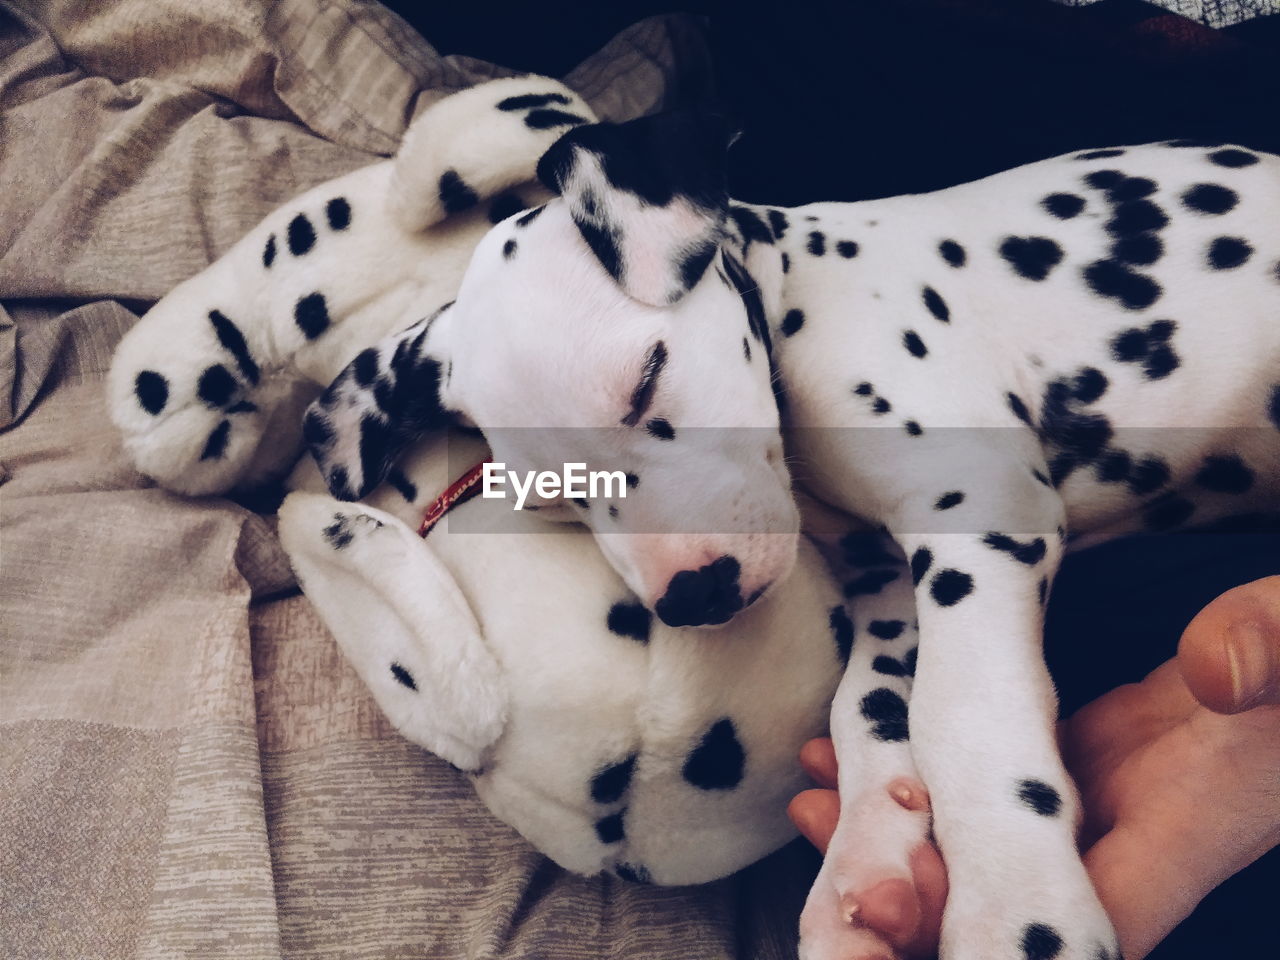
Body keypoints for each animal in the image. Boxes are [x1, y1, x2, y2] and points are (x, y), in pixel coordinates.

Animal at [307, 108, 1280, 957]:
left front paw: (1018, 909)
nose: (695, 596)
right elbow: (869, 707)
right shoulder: (889, 586)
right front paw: (867, 864)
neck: (794, 301)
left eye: (647, 379)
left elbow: (965, 714)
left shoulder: (983, 515)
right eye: (556, 500)